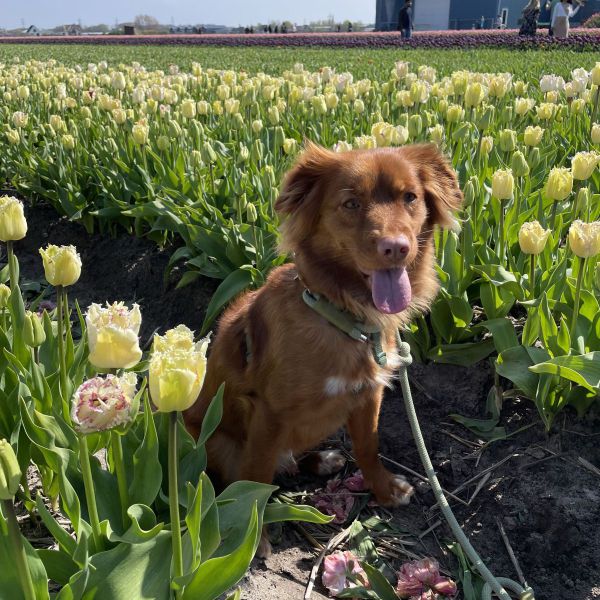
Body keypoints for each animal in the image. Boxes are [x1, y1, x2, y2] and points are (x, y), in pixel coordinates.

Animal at [185, 143, 462, 548]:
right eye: (350, 203)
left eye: (410, 197)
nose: (396, 248)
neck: (345, 318)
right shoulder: (268, 412)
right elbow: (256, 474)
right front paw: (255, 534)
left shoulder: (368, 395)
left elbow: (368, 447)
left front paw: (383, 490)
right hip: (209, 439)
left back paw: (321, 460)